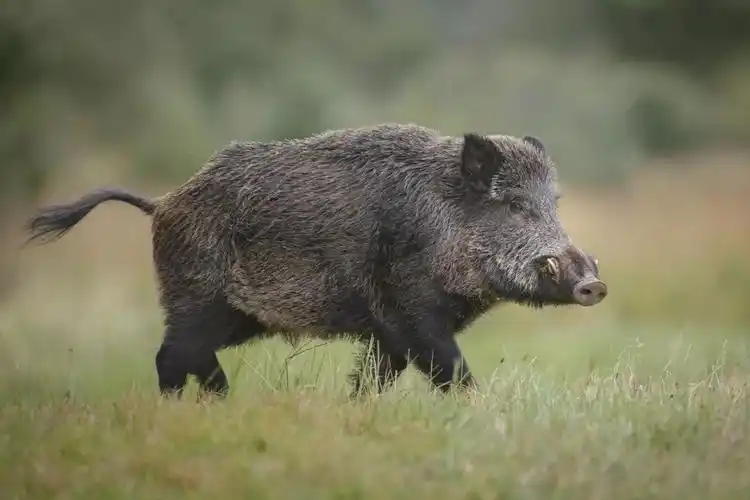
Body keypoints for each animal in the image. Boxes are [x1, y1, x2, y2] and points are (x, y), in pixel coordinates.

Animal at [25, 123, 607, 398]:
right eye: (512, 205)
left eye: (554, 203)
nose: (594, 285)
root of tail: (163, 203)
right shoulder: (411, 312)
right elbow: (451, 370)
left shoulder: (387, 332)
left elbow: (375, 378)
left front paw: (356, 410)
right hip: (195, 297)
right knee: (171, 355)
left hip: (235, 315)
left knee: (189, 356)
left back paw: (222, 401)